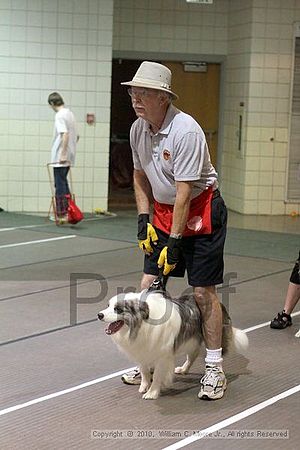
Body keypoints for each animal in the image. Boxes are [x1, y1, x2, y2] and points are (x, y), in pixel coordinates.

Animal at [97, 290, 247, 400]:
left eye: (118, 309)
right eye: (108, 305)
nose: (99, 315)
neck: (142, 325)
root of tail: (220, 304)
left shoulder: (162, 355)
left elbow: (158, 375)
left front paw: (152, 393)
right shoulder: (143, 350)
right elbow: (144, 371)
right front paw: (144, 385)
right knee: (192, 355)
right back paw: (184, 369)